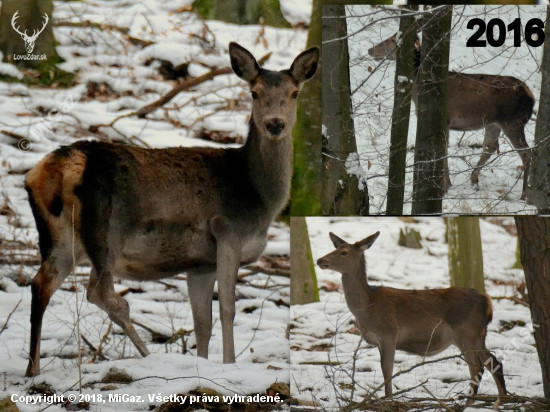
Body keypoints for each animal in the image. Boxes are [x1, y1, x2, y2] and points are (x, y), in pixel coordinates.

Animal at [24, 42, 320, 376]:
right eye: (254, 92)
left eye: (294, 93)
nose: (275, 124)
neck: (259, 198)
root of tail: (54, 168)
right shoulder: (227, 231)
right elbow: (228, 309)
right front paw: (229, 363)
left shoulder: (200, 264)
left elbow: (202, 322)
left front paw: (204, 363)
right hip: (105, 232)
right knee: (102, 294)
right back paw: (145, 356)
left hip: (60, 238)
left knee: (41, 284)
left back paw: (32, 370)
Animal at [316, 232, 506, 402]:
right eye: (336, 247)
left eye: (344, 252)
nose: (319, 260)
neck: (367, 309)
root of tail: (488, 302)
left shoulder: (389, 334)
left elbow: (387, 370)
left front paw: (389, 399)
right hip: (478, 335)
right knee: (494, 362)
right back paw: (502, 399)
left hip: (465, 332)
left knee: (477, 368)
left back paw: (469, 400)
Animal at [368, 32, 536, 200]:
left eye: (391, 40)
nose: (370, 50)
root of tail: (531, 96)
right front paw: (447, 185)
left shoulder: (446, 119)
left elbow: (443, 150)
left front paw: (444, 187)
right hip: (494, 122)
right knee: (491, 146)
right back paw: (474, 180)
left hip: (513, 122)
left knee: (527, 153)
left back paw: (524, 194)